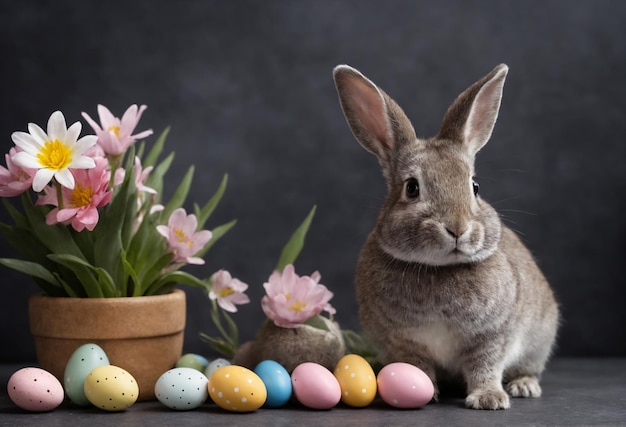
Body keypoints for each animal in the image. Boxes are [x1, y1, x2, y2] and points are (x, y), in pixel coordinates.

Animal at [334, 64, 560, 412]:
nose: (457, 228)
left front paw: (489, 399)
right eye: (412, 188)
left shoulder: (492, 335)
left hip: (539, 339)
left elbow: (485, 366)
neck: (439, 268)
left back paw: (523, 386)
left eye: (475, 186)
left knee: (528, 368)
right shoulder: (403, 342)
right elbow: (418, 367)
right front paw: (424, 391)